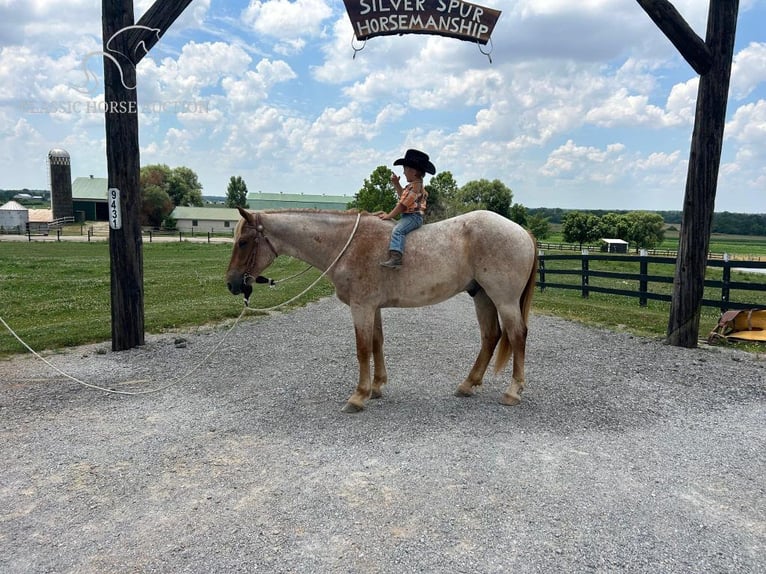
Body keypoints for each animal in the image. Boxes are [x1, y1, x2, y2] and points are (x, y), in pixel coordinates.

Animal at [226, 208, 540, 414]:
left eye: (243, 242)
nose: (231, 283)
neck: (346, 245)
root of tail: (522, 231)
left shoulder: (361, 307)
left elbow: (363, 348)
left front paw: (358, 396)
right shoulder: (372, 308)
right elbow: (377, 343)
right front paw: (376, 387)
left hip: (504, 300)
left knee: (517, 335)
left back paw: (513, 392)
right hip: (482, 296)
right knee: (491, 337)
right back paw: (467, 384)